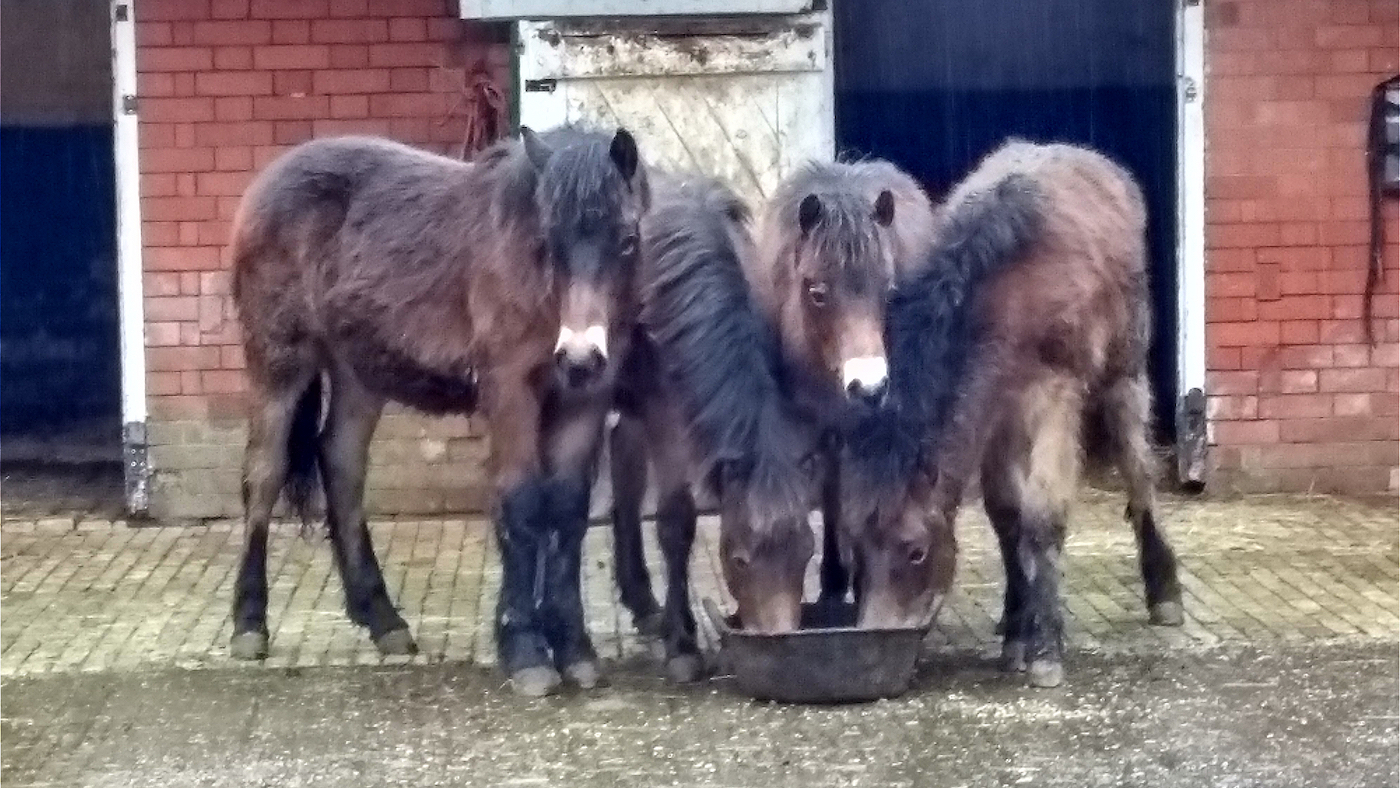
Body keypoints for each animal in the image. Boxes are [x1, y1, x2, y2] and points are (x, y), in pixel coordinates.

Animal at [228, 125, 649, 698]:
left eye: (627, 239)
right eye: (548, 242)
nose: (581, 355)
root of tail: (267, 183)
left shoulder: (585, 400)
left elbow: (566, 509)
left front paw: (574, 649)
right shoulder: (510, 392)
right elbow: (521, 502)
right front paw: (525, 650)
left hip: (359, 372)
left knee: (341, 465)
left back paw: (383, 619)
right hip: (278, 365)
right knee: (263, 475)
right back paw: (250, 622)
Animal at [608, 173, 822, 674]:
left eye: (806, 553)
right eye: (739, 560)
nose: (779, 639)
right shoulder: (665, 418)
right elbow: (675, 523)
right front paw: (683, 644)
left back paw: (642, 603)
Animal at [840, 139, 1185, 688]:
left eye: (915, 551)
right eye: (853, 548)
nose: (876, 637)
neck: (1007, 288)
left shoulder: (1054, 397)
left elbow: (1041, 516)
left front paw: (1044, 647)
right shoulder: (993, 412)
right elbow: (1007, 516)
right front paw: (1020, 628)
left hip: (1123, 375)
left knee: (1138, 471)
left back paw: (1163, 590)